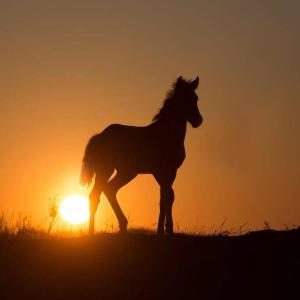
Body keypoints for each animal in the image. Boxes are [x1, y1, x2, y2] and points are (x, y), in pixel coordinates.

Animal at [79, 76, 203, 236]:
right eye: (184, 99)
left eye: (195, 98)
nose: (198, 121)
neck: (167, 135)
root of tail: (100, 136)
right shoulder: (164, 171)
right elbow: (167, 197)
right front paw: (165, 230)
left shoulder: (166, 173)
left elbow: (167, 197)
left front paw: (164, 230)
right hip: (113, 170)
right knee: (102, 192)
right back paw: (110, 227)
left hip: (116, 172)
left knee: (101, 193)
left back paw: (105, 229)